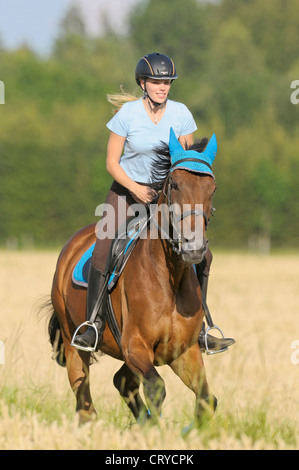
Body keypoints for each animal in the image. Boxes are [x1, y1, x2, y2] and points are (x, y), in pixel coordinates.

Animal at [47, 127, 220, 426]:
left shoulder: (184, 352)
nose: (194, 247)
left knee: (122, 381)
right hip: (73, 341)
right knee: (84, 396)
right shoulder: (134, 346)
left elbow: (207, 400)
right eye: (175, 184)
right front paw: (154, 429)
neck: (169, 277)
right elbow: (157, 388)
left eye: (212, 188)